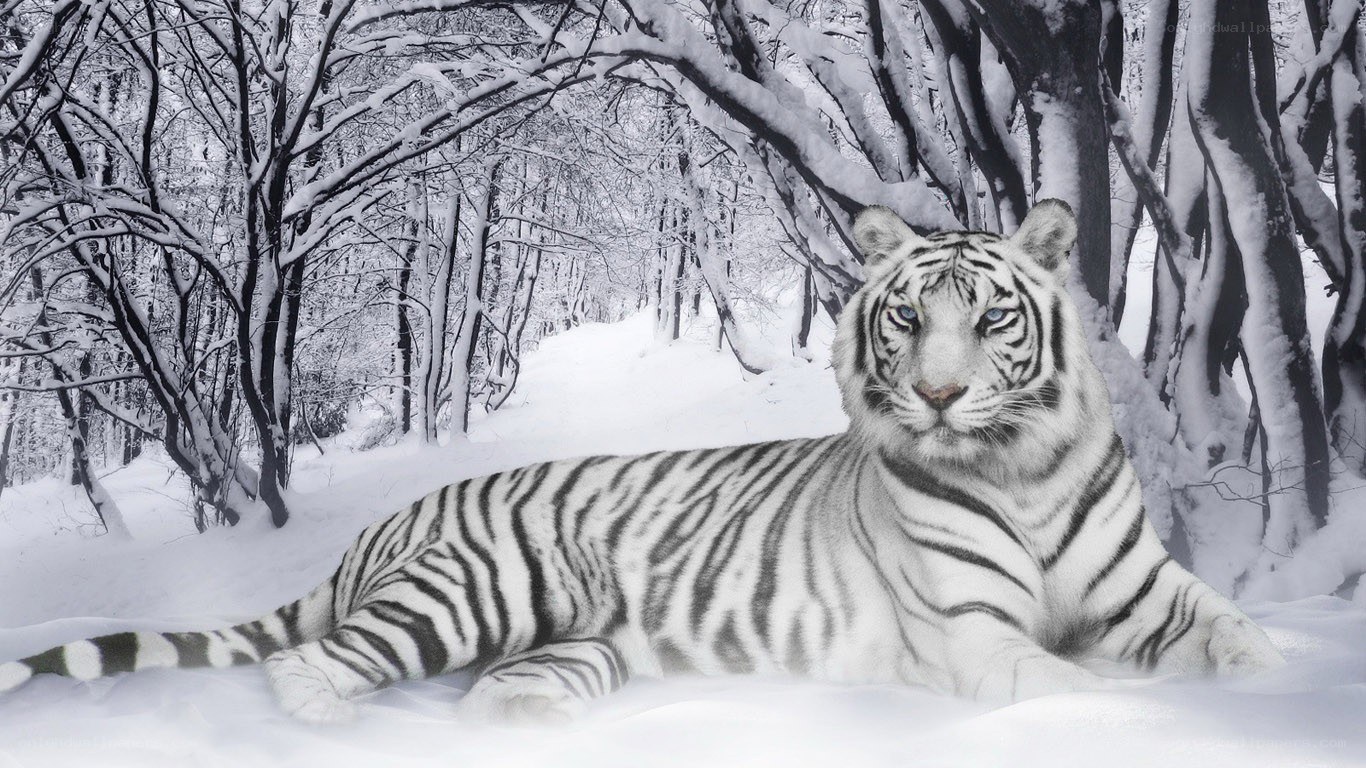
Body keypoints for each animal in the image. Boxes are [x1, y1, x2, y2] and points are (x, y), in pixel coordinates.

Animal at [0, 200, 1285, 724]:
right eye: (908, 319)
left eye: (991, 318)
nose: (935, 395)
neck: (1020, 467)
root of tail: (389, 519)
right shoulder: (974, 635)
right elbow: (1080, 688)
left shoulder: (1153, 594)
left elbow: (1242, 642)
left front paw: (1277, 696)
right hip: (471, 592)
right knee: (310, 664)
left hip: (573, 644)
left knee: (494, 691)